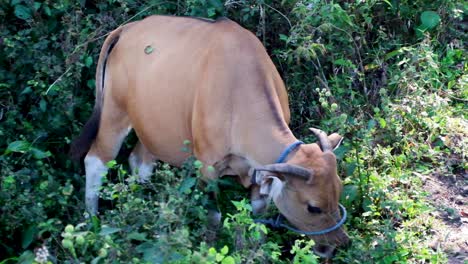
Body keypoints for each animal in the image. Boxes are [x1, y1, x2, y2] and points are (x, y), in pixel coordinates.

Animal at [69, 15, 348, 256]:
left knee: (140, 163)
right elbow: (214, 217)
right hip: (114, 113)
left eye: (339, 190)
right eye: (313, 207)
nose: (336, 244)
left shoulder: (259, 170)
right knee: (96, 161)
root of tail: (126, 29)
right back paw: (93, 226)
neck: (238, 93)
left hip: (153, 129)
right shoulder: (207, 166)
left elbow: (257, 215)